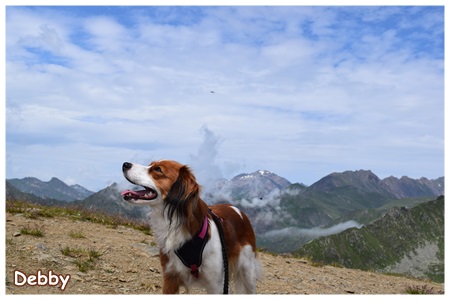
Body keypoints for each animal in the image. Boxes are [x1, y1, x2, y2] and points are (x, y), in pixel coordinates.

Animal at [121, 161, 260, 294]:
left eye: (158, 169)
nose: (125, 164)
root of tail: (238, 210)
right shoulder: (170, 279)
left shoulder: (217, 285)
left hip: (248, 272)